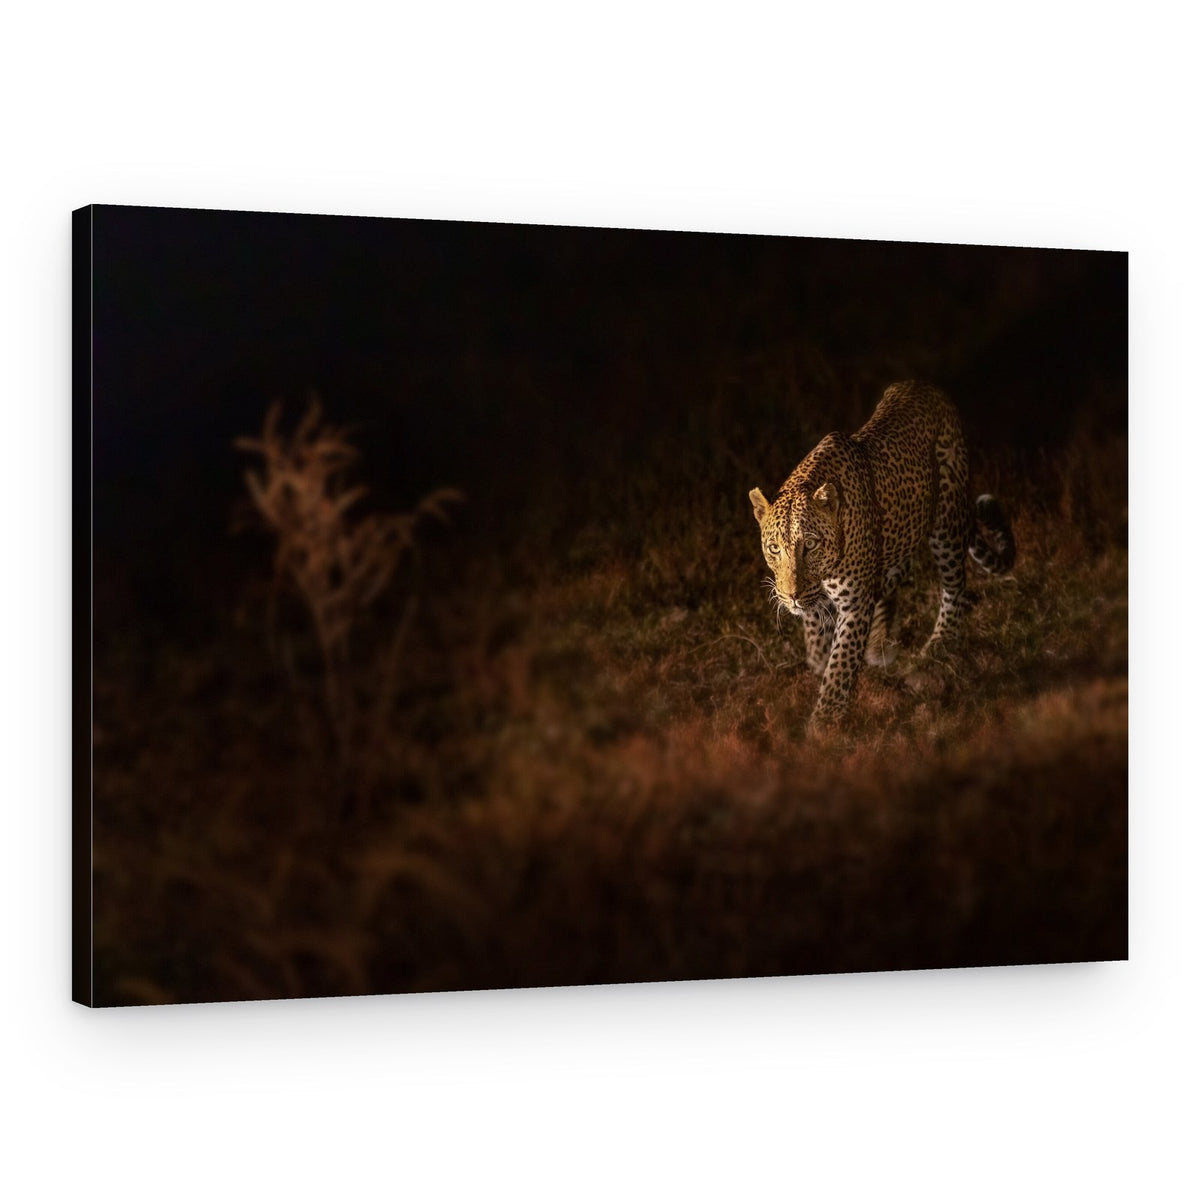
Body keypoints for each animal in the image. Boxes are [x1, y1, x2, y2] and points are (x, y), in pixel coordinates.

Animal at [749, 381, 1015, 729]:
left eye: (810, 545)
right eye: (774, 548)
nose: (791, 596)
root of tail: (922, 385)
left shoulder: (854, 603)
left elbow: (841, 665)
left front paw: (824, 722)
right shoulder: (819, 594)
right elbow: (816, 627)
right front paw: (817, 662)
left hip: (945, 518)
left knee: (955, 583)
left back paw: (939, 643)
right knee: (893, 580)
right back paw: (879, 647)